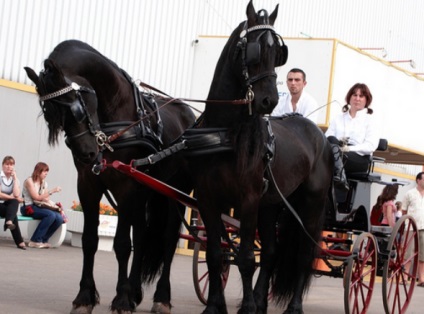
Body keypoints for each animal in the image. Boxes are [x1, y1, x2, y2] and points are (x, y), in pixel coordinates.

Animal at [24, 40, 194, 312]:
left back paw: (162, 297)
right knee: (143, 235)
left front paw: (121, 299)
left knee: (168, 239)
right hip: (145, 193)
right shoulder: (88, 185)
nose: (87, 153)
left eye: (76, 106)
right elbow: (90, 240)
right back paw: (136, 292)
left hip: (174, 193)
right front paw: (85, 296)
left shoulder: (126, 187)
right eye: (50, 114)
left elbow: (122, 244)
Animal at [182, 1, 334, 312]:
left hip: (310, 205)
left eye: (278, 54)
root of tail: (320, 136)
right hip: (272, 205)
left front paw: (249, 306)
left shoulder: (248, 199)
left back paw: (294, 306)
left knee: (303, 255)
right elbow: (215, 254)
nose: (269, 100)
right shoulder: (207, 198)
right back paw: (263, 300)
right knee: (273, 253)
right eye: (253, 49)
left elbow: (246, 258)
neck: (224, 132)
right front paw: (215, 305)